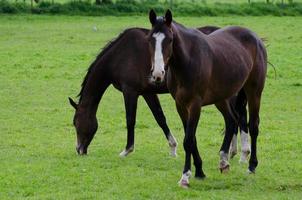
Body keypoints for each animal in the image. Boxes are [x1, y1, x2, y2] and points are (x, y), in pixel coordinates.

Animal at [68, 25, 225, 158]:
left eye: (75, 122)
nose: (79, 149)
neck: (120, 55)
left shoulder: (130, 92)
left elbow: (130, 119)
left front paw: (127, 149)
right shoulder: (147, 93)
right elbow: (160, 118)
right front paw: (173, 148)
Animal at [147, 9, 268, 188]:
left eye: (169, 40)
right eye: (150, 39)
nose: (157, 74)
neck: (187, 61)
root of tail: (256, 38)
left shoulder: (195, 105)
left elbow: (188, 140)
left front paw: (185, 176)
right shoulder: (180, 105)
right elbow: (192, 138)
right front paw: (199, 171)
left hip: (254, 92)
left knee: (253, 126)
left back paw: (251, 166)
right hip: (221, 98)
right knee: (231, 120)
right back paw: (224, 161)